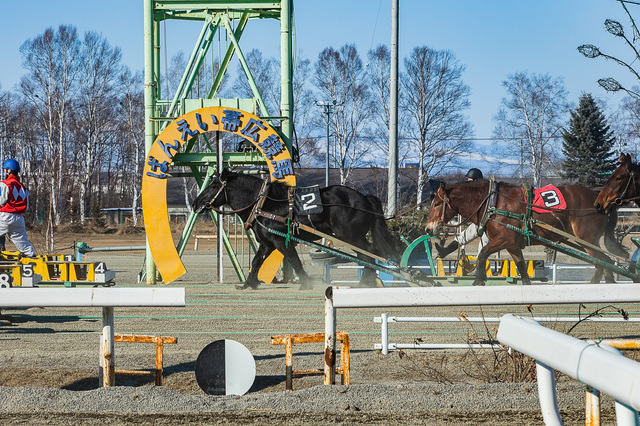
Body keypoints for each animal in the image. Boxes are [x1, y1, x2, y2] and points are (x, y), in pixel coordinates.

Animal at [191, 170, 400, 290]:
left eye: (213, 185)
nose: (195, 203)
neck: (265, 205)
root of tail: (364, 198)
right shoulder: (267, 243)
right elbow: (256, 262)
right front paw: (248, 283)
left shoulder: (280, 241)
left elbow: (294, 260)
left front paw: (306, 284)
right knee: (369, 255)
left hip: (351, 237)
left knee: (369, 254)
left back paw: (364, 282)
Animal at [424, 178, 624, 284]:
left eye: (436, 203)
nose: (428, 228)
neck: (494, 203)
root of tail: (601, 200)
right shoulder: (513, 246)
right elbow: (522, 269)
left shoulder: (504, 239)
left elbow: (482, 255)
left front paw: (478, 280)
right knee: (604, 263)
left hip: (587, 239)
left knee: (602, 262)